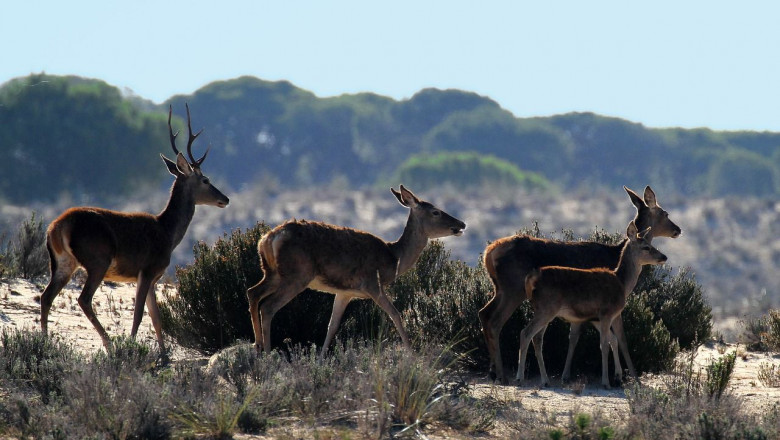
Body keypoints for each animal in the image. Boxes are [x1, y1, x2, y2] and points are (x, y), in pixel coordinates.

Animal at [39, 104, 229, 354]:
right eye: (206, 180)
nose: (225, 199)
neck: (167, 232)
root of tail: (57, 227)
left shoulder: (153, 277)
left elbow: (156, 317)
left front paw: (164, 355)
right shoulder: (147, 269)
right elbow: (139, 315)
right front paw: (133, 347)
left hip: (62, 262)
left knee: (45, 296)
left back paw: (44, 342)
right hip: (97, 259)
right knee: (83, 299)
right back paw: (110, 345)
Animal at [245, 186, 464, 358]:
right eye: (435, 212)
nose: (462, 224)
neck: (394, 258)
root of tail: (268, 238)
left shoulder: (345, 292)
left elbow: (332, 325)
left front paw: (321, 359)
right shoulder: (372, 283)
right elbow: (395, 314)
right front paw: (413, 355)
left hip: (272, 272)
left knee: (253, 292)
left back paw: (257, 347)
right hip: (296, 275)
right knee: (268, 306)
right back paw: (268, 354)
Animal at [516, 223, 668, 388]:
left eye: (651, 244)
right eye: (646, 247)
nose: (664, 257)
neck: (621, 283)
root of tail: (531, 278)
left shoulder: (606, 316)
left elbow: (619, 341)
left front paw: (628, 378)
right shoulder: (607, 312)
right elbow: (605, 344)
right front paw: (607, 382)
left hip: (543, 310)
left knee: (537, 338)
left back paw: (545, 380)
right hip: (546, 309)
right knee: (525, 333)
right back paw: (520, 378)